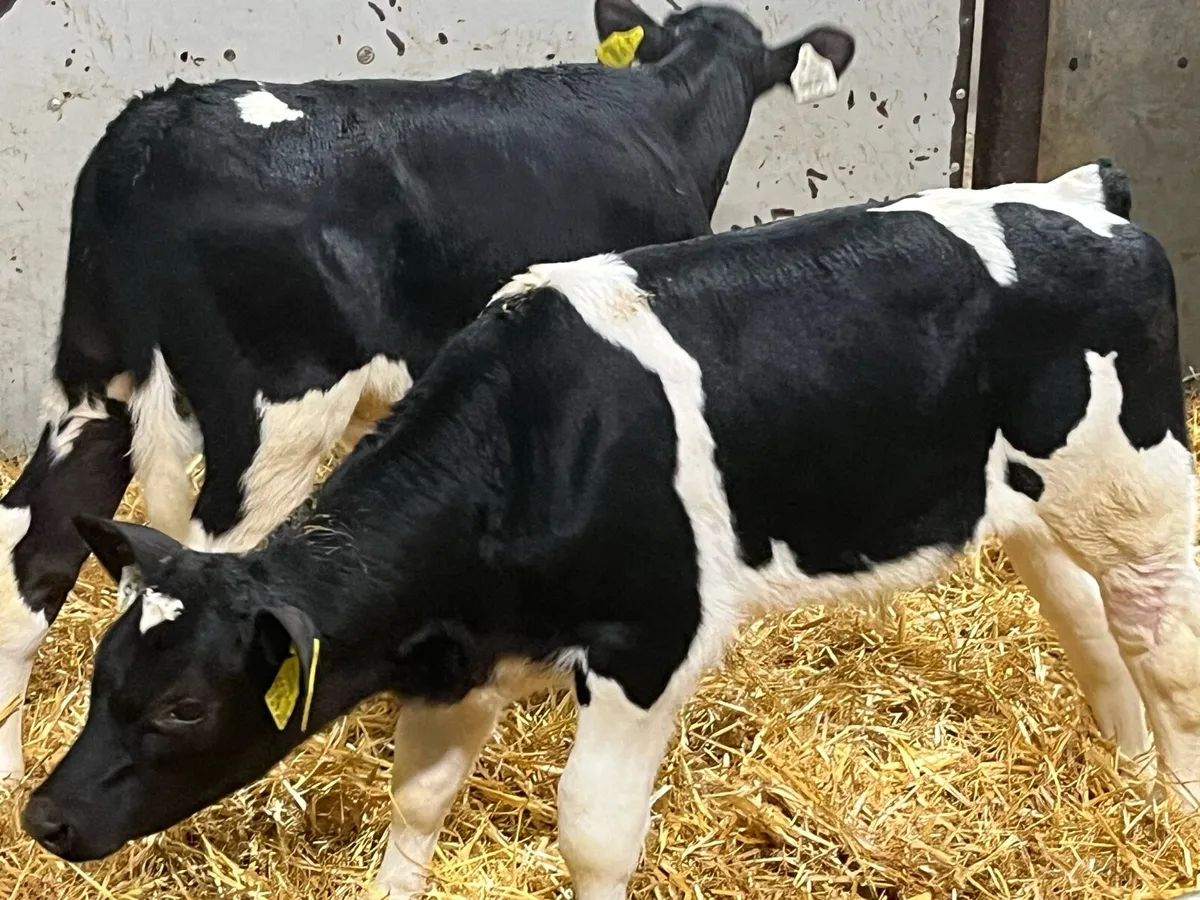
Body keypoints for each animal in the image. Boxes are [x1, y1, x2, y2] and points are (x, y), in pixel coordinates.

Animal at [23, 162, 1196, 898]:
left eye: (183, 706)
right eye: (101, 674)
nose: (45, 820)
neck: (533, 442)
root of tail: (1085, 199)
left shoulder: (648, 645)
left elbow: (591, 831)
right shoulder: (463, 655)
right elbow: (419, 799)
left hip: (1142, 490)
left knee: (1164, 645)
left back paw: (1176, 813)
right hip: (1028, 500)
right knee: (1089, 620)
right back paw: (1128, 778)